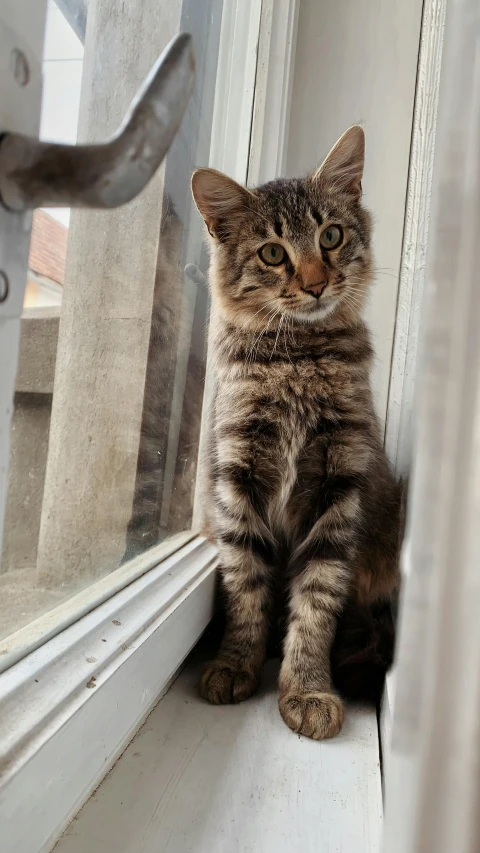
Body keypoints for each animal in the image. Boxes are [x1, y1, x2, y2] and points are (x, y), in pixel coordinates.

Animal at [190, 126, 402, 740]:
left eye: (330, 236)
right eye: (272, 253)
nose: (315, 284)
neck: (297, 363)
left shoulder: (340, 484)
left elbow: (317, 598)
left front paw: (307, 687)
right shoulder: (238, 474)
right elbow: (246, 584)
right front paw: (236, 663)